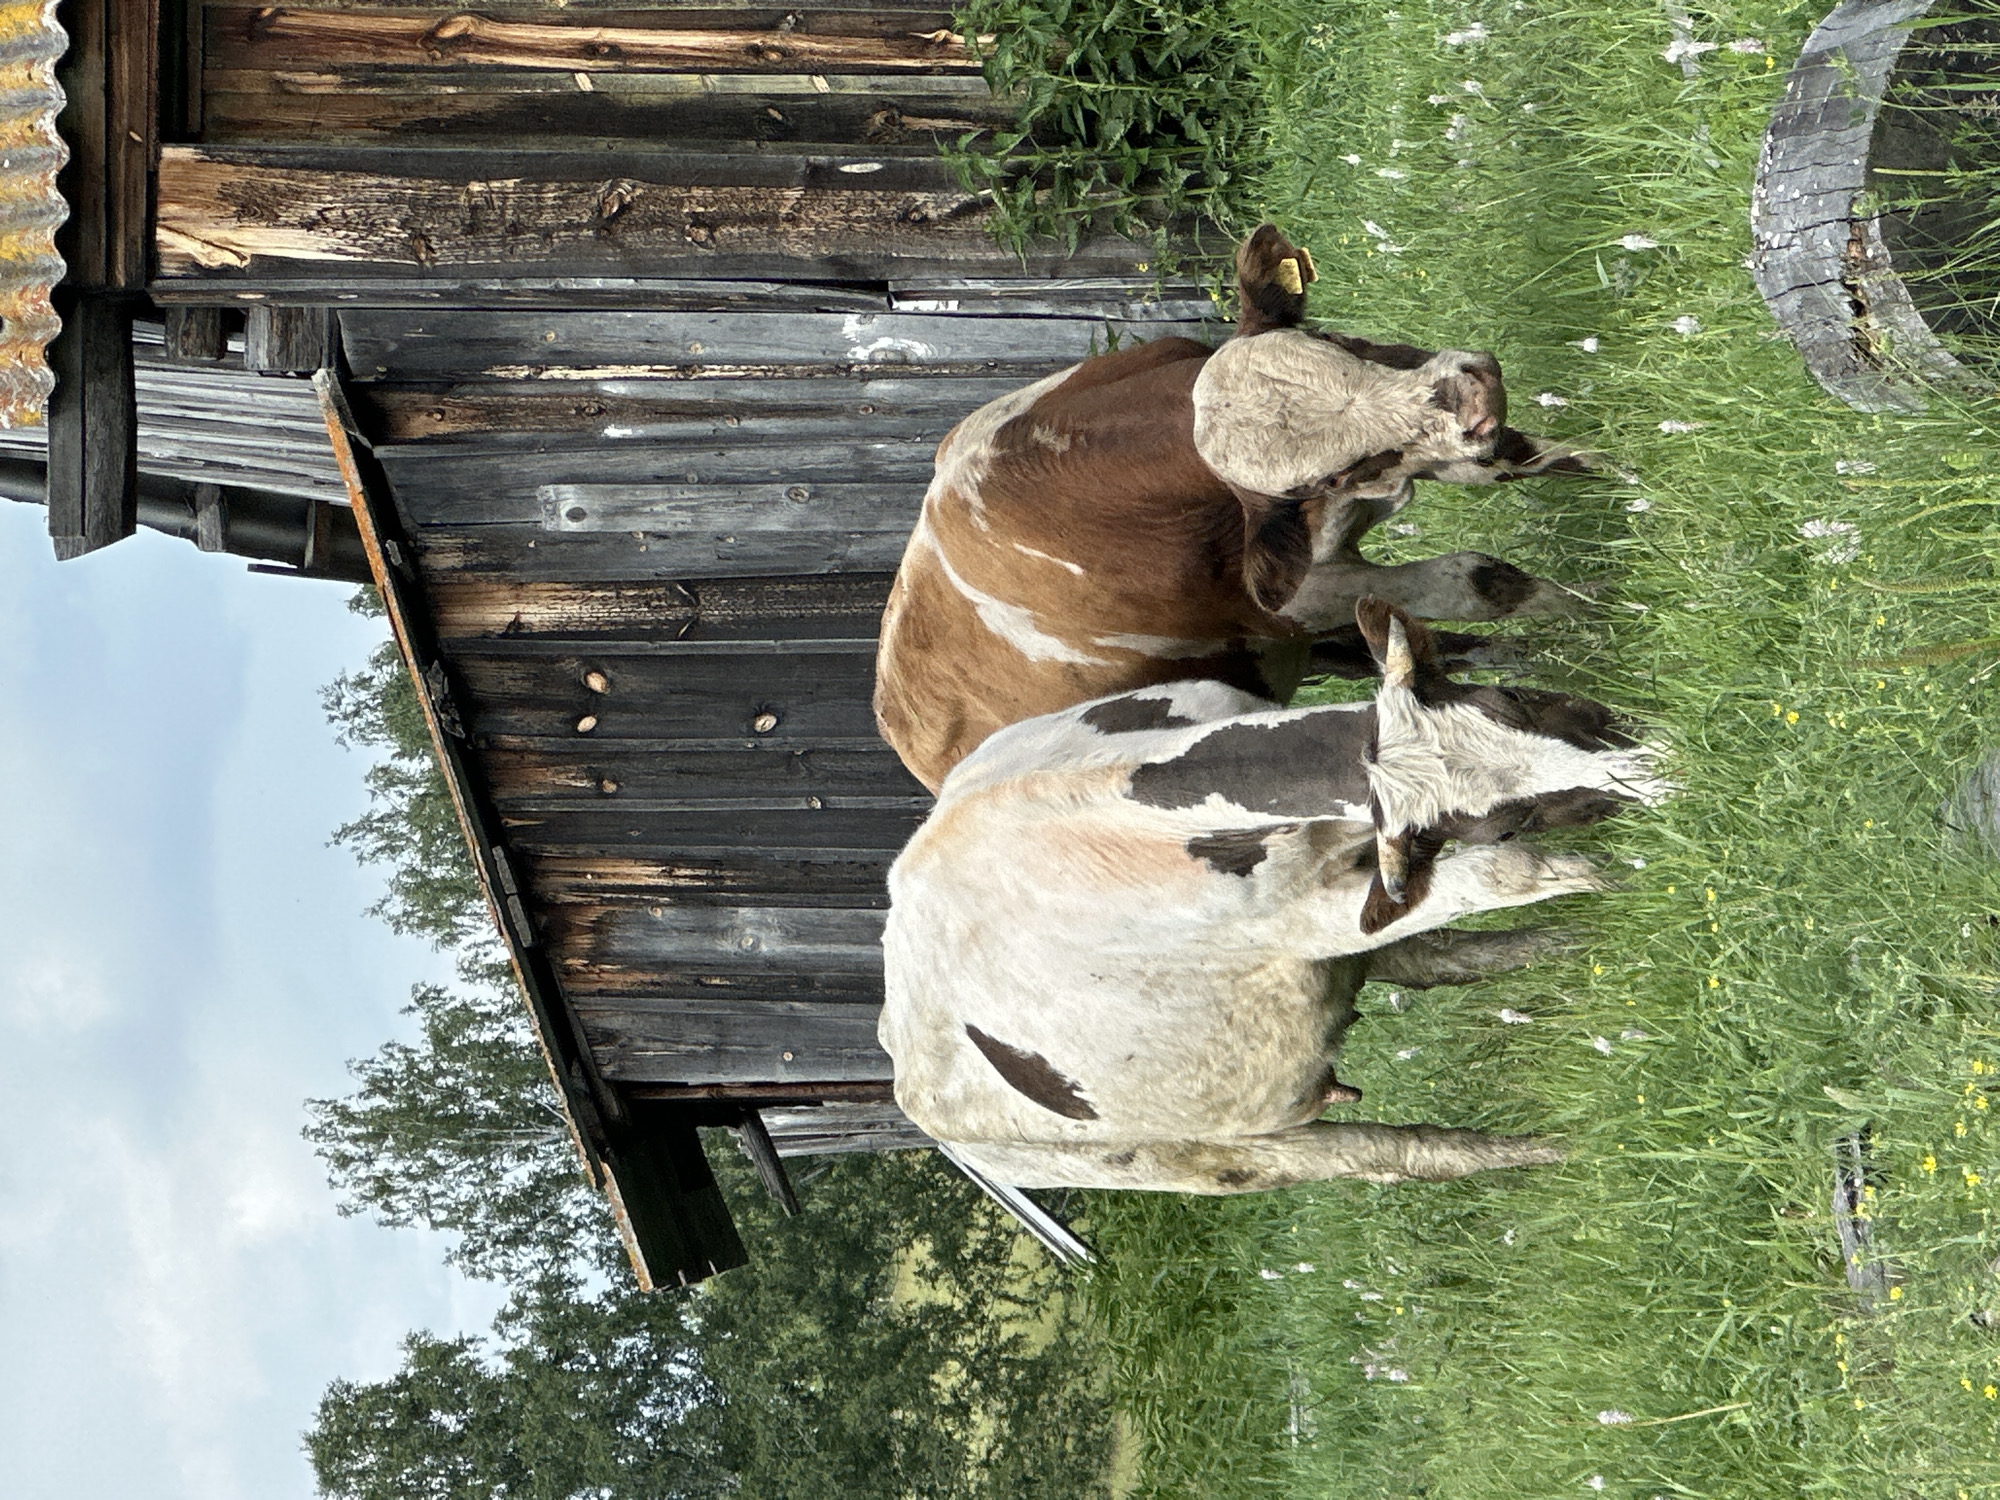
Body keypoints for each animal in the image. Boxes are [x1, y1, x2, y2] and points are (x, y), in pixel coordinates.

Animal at [874, 224, 1597, 794]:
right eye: (1334, 472)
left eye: (1332, 338)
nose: (1472, 396)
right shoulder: (1302, 597)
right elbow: (1479, 581)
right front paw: (1604, 621)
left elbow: (1539, 459)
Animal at [878, 600, 1668, 1194]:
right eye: (1505, 822)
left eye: (1512, 698)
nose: (1651, 766)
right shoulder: (1308, 918)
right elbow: (1518, 873)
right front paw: (1642, 888)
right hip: (1212, 1156)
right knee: (1390, 1155)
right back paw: (1553, 1151)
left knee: (1431, 961)